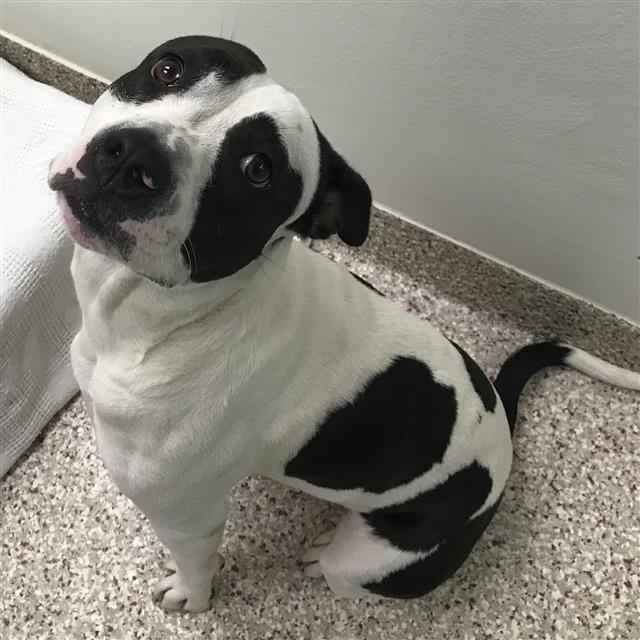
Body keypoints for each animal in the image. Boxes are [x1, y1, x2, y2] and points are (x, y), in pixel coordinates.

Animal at [46, 36, 640, 616]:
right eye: (168, 68)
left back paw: (318, 555)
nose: (135, 157)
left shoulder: (187, 514)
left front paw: (190, 597)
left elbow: (196, 562)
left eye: (257, 169)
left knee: (342, 570)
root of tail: (501, 434)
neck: (163, 319)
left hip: (370, 563)